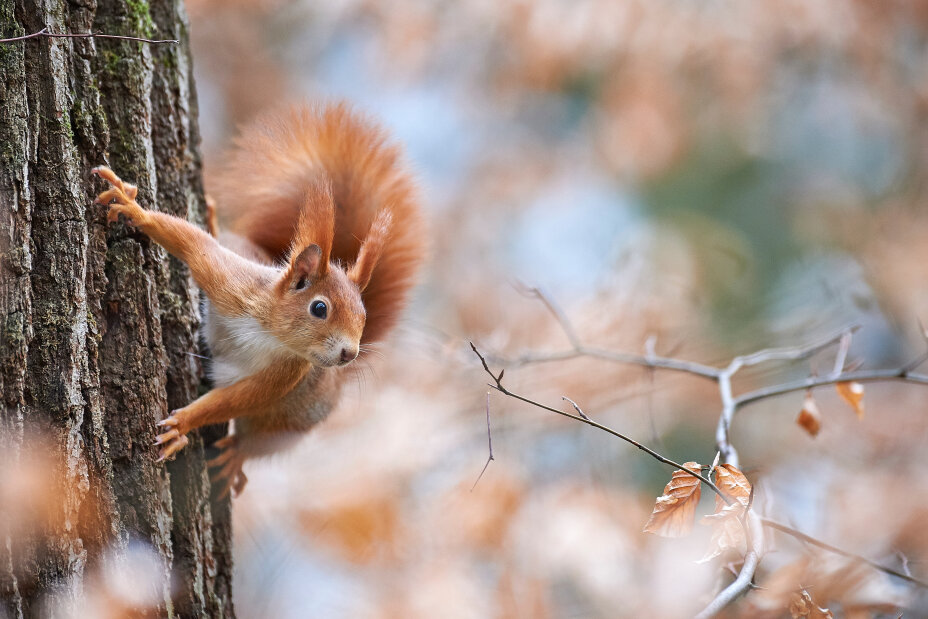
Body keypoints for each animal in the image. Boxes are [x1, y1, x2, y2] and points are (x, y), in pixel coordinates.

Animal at [93, 102, 425, 496]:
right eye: (319, 308)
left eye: (364, 315)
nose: (349, 353)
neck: (270, 331)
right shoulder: (229, 282)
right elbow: (192, 244)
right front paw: (134, 209)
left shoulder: (286, 374)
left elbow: (235, 400)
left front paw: (183, 424)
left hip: (290, 423)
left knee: (256, 440)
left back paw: (236, 454)